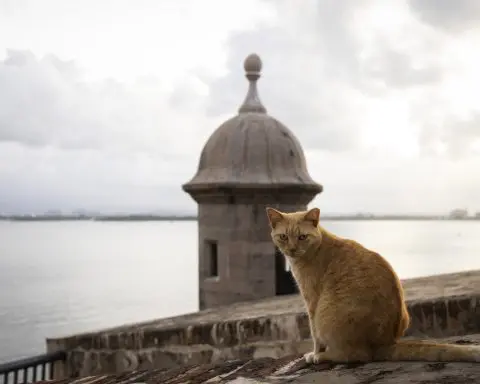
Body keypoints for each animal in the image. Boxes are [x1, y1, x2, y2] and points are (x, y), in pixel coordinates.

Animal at [266, 207, 480, 364]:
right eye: (283, 237)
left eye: (302, 237)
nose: (292, 249)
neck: (316, 248)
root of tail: (386, 342)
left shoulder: (312, 301)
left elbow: (315, 334)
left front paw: (315, 352)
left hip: (326, 312)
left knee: (357, 355)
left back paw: (320, 357)